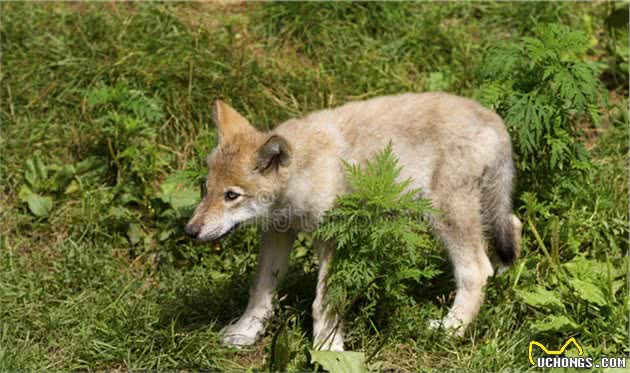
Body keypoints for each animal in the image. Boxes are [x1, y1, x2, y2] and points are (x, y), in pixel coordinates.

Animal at [186, 92, 524, 348]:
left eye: (232, 196)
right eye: (206, 188)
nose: (190, 231)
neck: (305, 169)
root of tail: (493, 119)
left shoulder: (332, 239)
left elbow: (323, 303)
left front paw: (328, 348)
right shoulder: (277, 233)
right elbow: (260, 291)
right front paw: (244, 333)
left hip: (444, 216)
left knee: (476, 270)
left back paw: (450, 329)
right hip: (482, 211)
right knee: (512, 229)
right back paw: (503, 282)